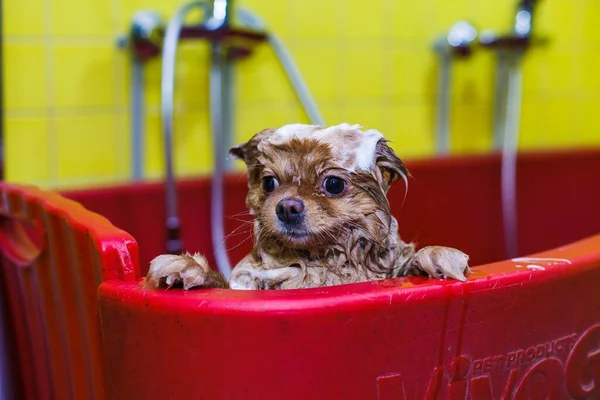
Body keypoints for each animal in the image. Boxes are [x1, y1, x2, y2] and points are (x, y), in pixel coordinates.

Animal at [144, 122, 468, 290]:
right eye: (269, 183)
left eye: (333, 184)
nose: (287, 207)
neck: (317, 261)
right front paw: (188, 268)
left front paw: (434, 257)